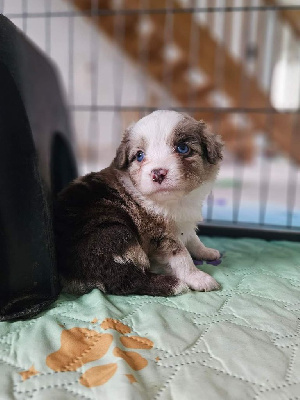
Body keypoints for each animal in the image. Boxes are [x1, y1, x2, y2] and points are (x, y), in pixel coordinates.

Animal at [54, 111, 223, 296]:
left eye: (183, 148)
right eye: (140, 155)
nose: (158, 173)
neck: (174, 201)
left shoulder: (183, 224)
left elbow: (194, 239)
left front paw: (207, 252)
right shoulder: (160, 234)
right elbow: (181, 256)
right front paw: (198, 278)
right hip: (115, 234)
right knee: (123, 280)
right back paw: (173, 284)